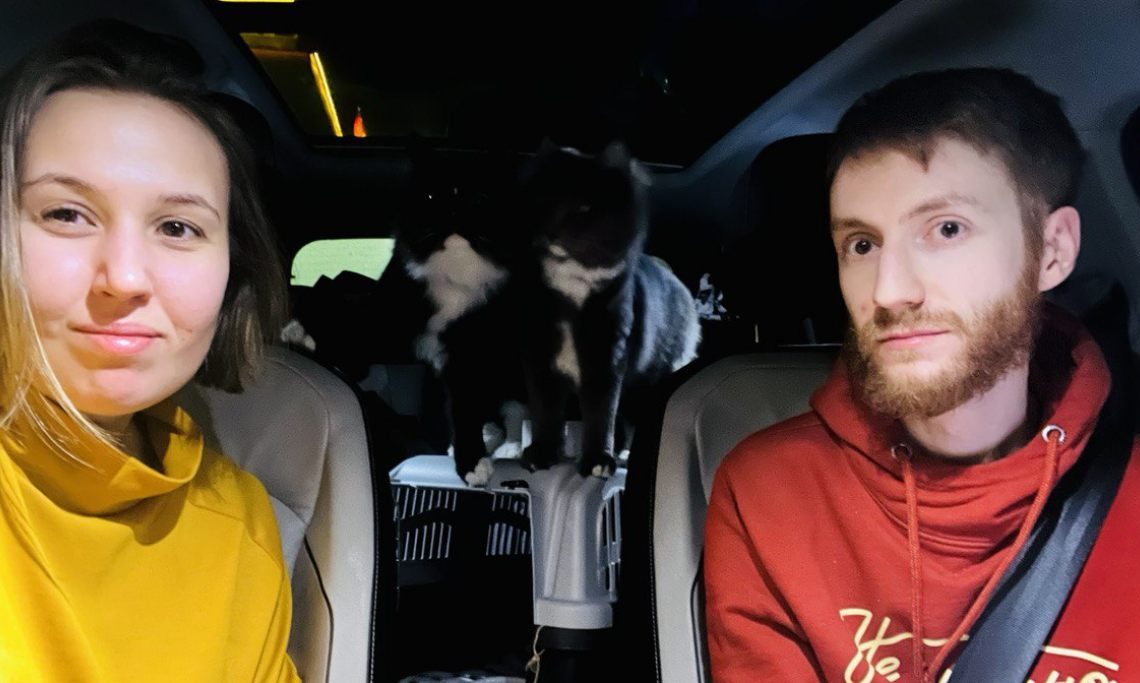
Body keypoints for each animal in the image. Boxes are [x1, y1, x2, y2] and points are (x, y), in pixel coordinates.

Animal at [516, 141, 701, 477]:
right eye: (543, 199)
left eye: (584, 208)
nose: (551, 232)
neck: (570, 285)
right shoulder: (538, 360)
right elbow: (545, 412)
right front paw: (542, 453)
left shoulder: (606, 360)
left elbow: (601, 414)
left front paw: (597, 461)